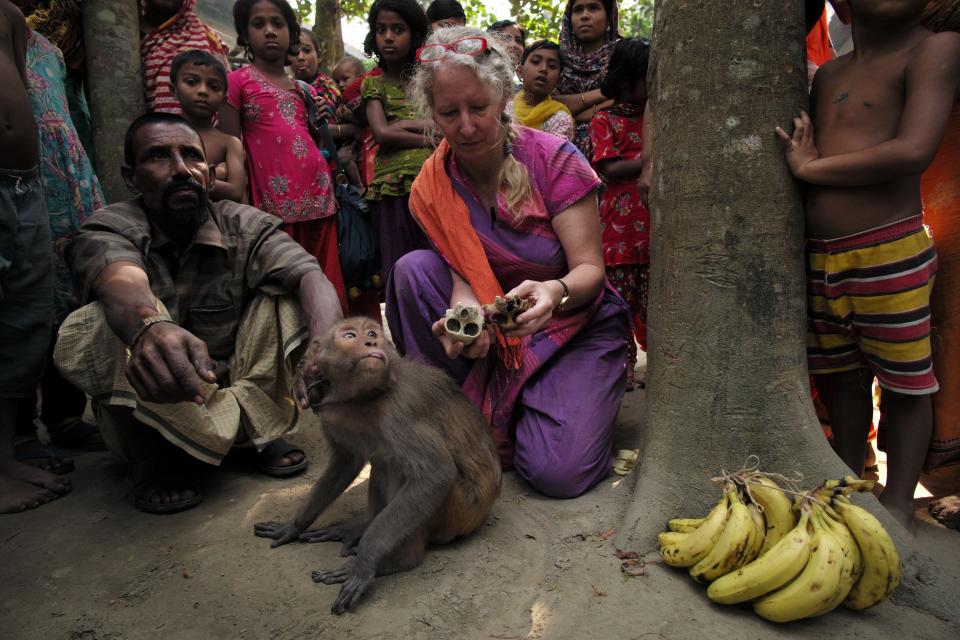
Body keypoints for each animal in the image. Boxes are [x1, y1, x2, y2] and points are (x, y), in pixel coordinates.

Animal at [255, 318, 502, 612]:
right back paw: (362, 526)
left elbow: (436, 473)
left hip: (461, 511)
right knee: (384, 463)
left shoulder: (400, 411)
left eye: (373, 333)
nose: (371, 342)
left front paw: (364, 562)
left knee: (399, 468)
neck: (366, 397)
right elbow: (345, 463)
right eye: (351, 336)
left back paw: (399, 559)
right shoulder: (331, 412)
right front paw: (295, 525)